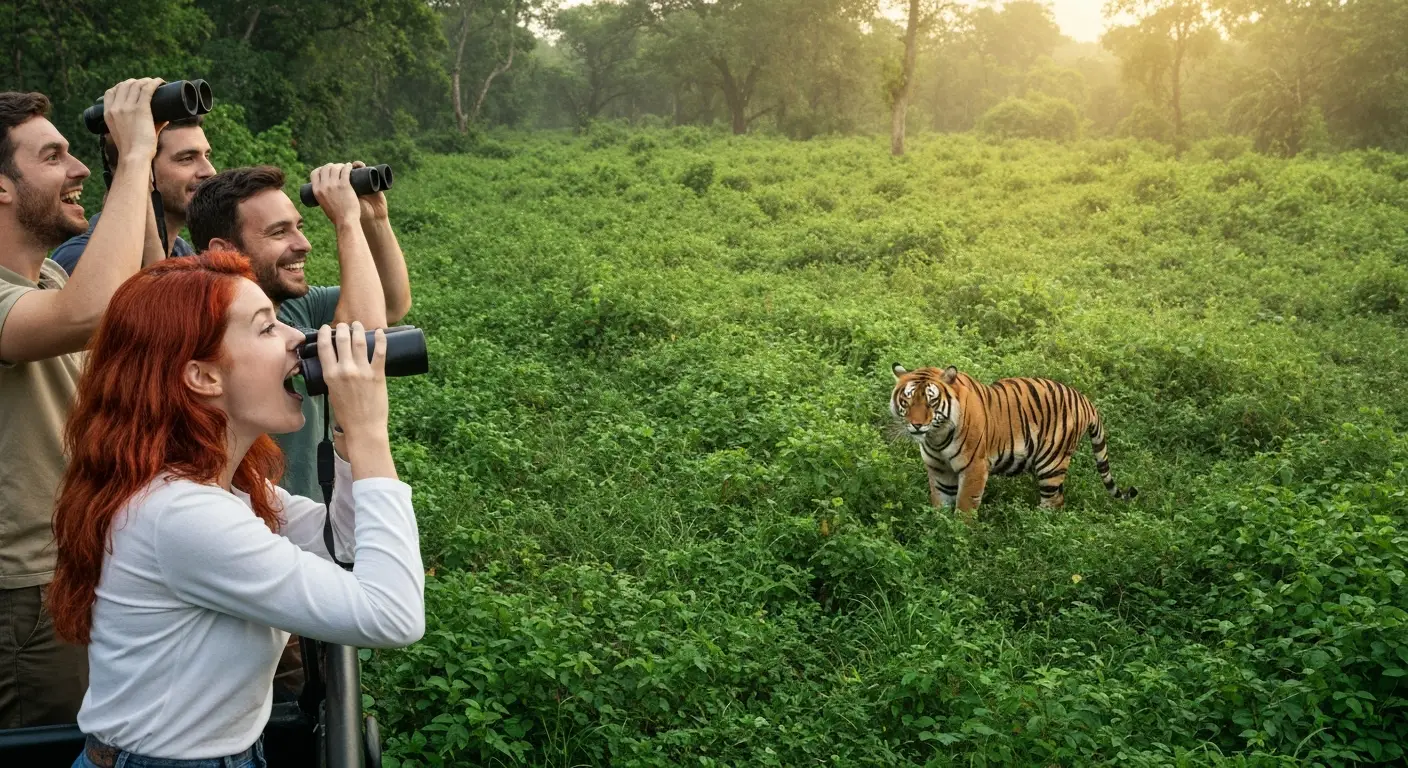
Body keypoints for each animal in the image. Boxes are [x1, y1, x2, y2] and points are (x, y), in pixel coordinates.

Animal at [890, 363, 1137, 520]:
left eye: (931, 402)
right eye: (907, 400)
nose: (917, 425)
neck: (936, 436)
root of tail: (1085, 399)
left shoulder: (974, 469)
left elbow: (965, 507)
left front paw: (959, 536)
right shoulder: (938, 469)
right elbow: (940, 503)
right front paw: (938, 529)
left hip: (1051, 464)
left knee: (1053, 502)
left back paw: (1037, 527)